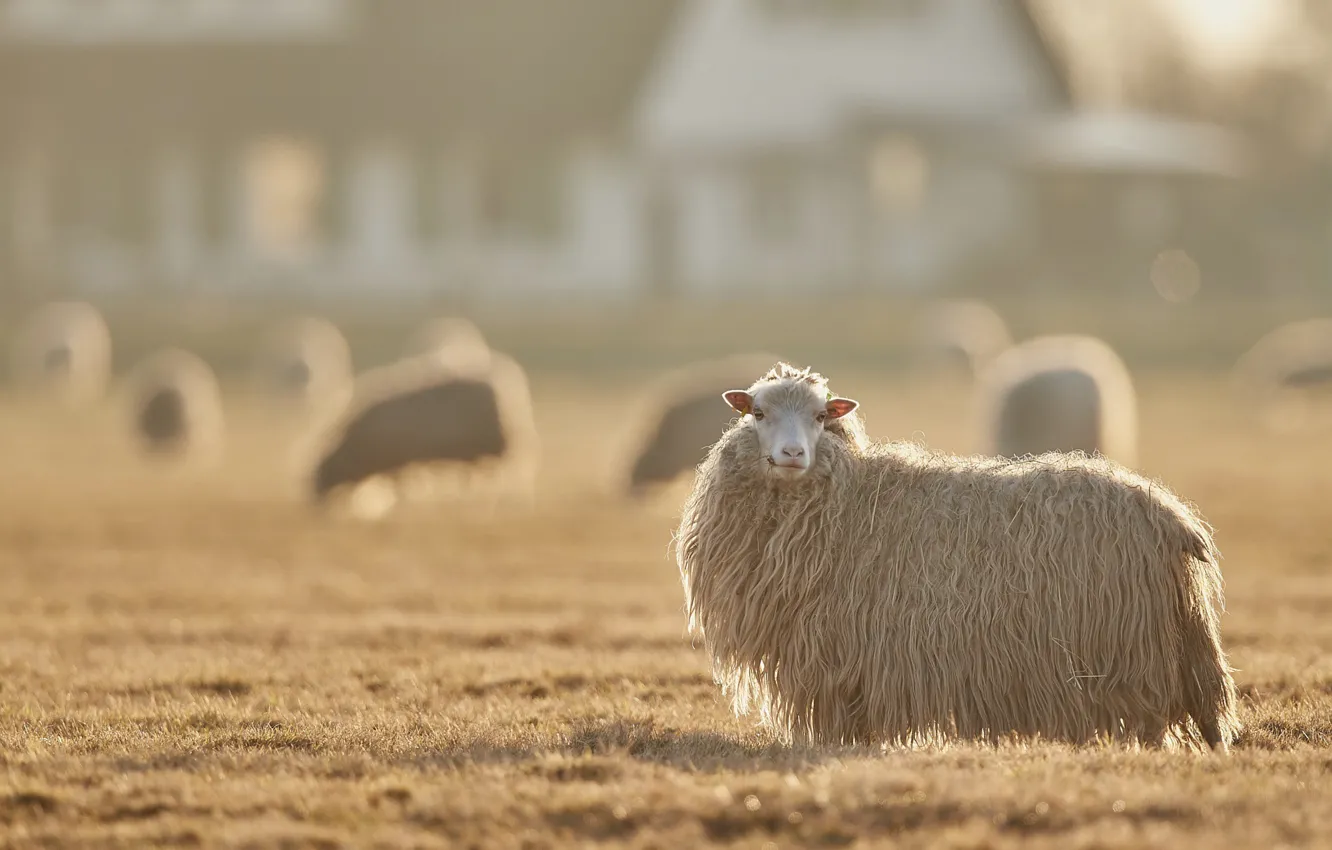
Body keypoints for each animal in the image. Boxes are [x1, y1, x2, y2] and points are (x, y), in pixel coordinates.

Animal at [307, 347, 538, 507]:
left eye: (320, 475)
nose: (314, 509)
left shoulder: (396, 460)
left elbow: (401, 484)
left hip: (486, 444)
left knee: (486, 474)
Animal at [674, 362, 1239, 752]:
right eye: (758, 413)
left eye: (819, 416)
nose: (792, 454)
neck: (846, 498)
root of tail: (1168, 513)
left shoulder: (836, 658)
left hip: (1131, 651)